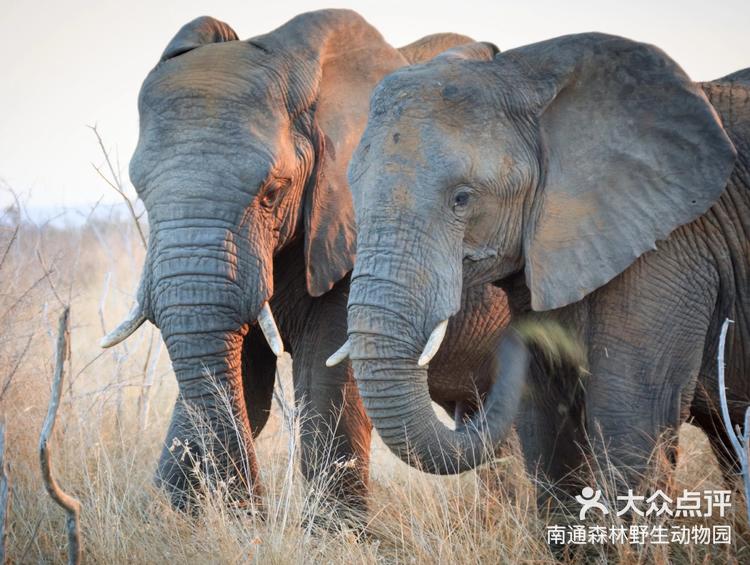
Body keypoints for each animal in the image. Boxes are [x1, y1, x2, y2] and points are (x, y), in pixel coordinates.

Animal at [98, 8, 512, 512]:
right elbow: (244, 380)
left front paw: (340, 531)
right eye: (141, 192)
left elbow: (326, 382)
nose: (253, 511)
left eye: (273, 193)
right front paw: (169, 514)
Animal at [340, 34, 750, 502]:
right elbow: (548, 428)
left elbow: (633, 421)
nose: (508, 342)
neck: (524, 75)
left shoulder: (672, 249)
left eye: (462, 199)